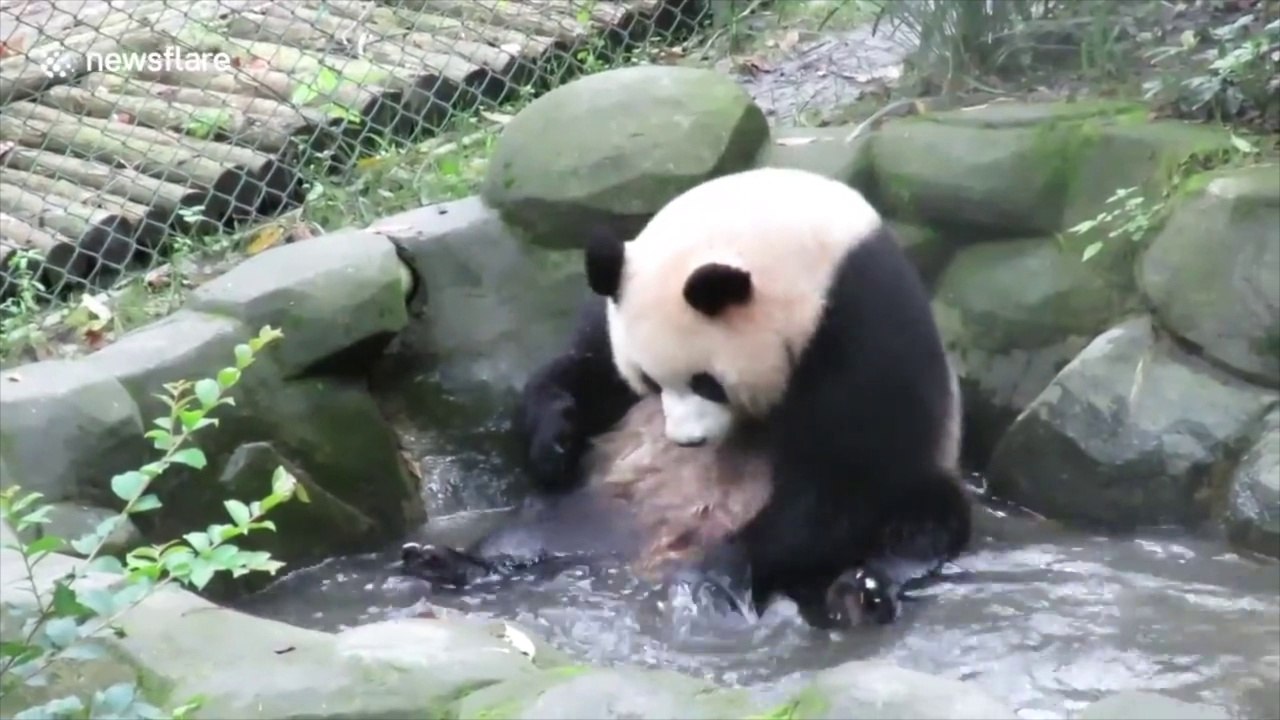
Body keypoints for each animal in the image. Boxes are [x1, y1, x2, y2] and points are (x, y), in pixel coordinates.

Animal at [399, 166, 971, 628]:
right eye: (650, 382)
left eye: (706, 382)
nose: (687, 442)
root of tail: (643, 552)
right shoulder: (612, 306)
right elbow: (584, 370)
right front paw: (553, 442)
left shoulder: (859, 321)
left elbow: (846, 473)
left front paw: (727, 564)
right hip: (599, 500)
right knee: (533, 534)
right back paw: (449, 563)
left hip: (924, 483)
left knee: (918, 528)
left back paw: (852, 593)